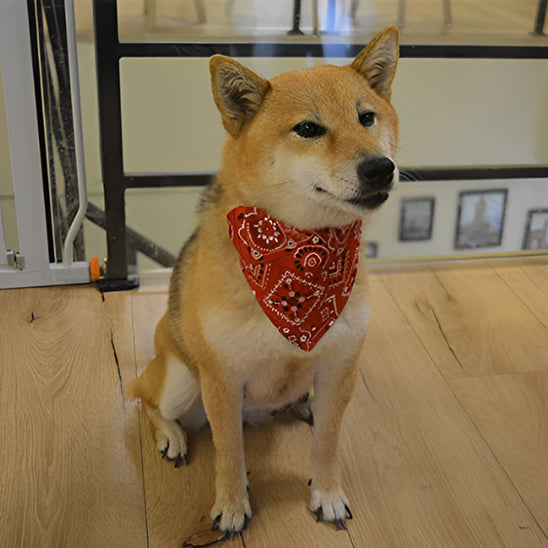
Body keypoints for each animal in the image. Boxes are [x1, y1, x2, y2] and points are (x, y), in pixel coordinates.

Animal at [131, 25, 400, 536]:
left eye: (367, 118)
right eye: (309, 129)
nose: (381, 167)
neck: (302, 256)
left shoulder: (340, 366)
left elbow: (328, 444)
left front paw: (327, 495)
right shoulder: (221, 379)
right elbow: (229, 453)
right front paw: (232, 504)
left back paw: (303, 404)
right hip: (181, 380)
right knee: (145, 401)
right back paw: (172, 436)